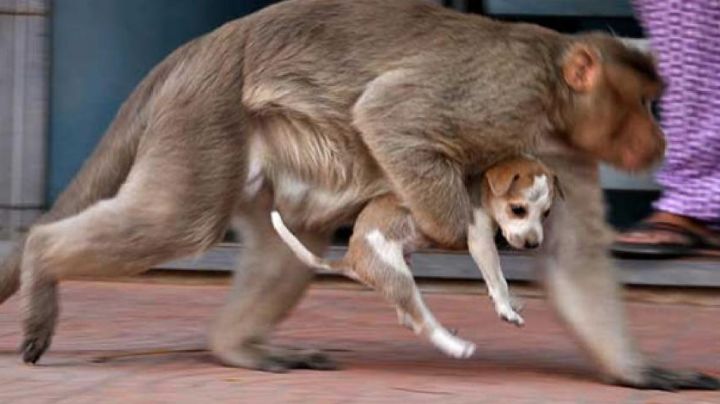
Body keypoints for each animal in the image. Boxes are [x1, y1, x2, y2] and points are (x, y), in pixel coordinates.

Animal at [0, 0, 716, 390]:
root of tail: (197, 51)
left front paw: (637, 372)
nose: (658, 138)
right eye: (644, 102)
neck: (551, 97)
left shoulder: (566, 154)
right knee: (178, 220)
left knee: (293, 238)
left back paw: (237, 347)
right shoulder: (501, 94)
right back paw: (40, 256)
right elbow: (388, 113)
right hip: (205, 118)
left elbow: (572, 260)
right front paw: (456, 228)